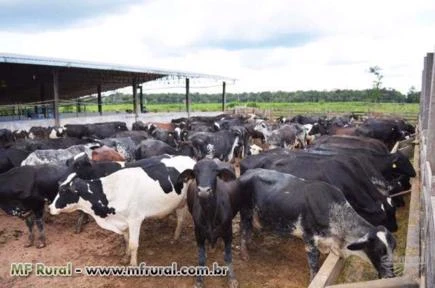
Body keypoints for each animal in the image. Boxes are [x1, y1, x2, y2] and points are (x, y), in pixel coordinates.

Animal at [49, 155, 196, 266]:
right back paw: (175, 237)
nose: (50, 207)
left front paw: (133, 264)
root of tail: (189, 158)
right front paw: (126, 256)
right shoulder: (123, 221)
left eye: (63, 191)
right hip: (179, 203)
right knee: (180, 219)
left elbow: (133, 244)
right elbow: (126, 240)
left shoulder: (135, 220)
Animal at [240, 169, 396, 282]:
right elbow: (314, 265)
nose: (390, 276)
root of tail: (249, 172)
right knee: (243, 230)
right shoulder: (309, 240)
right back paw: (245, 254)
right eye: (378, 251)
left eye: (393, 248)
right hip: (245, 211)